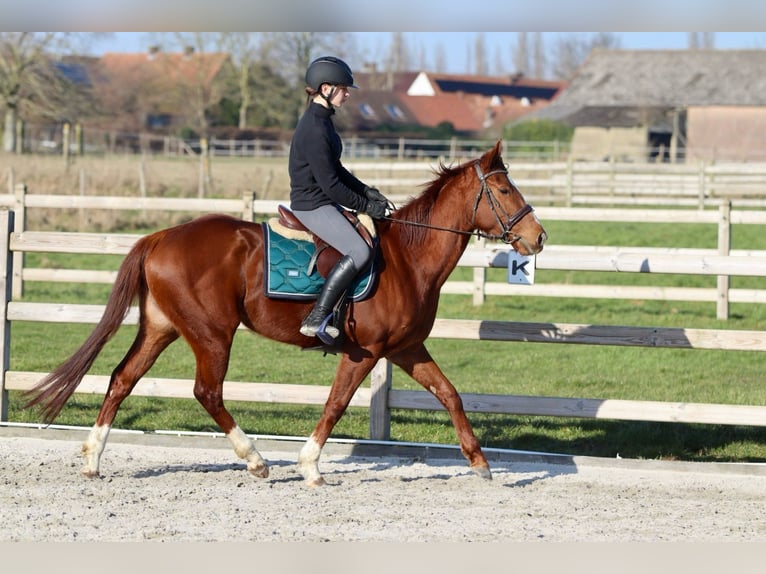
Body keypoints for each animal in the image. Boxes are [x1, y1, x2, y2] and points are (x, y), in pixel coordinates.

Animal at [24, 142, 548, 488]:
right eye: (504, 190)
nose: (538, 238)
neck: (407, 259)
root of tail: (161, 236)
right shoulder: (365, 351)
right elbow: (336, 404)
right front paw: (311, 466)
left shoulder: (405, 349)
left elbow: (450, 394)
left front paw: (479, 462)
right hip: (212, 333)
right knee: (206, 392)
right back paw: (255, 460)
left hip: (162, 329)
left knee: (122, 379)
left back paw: (93, 459)